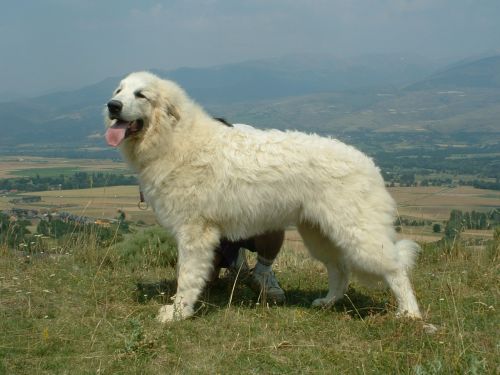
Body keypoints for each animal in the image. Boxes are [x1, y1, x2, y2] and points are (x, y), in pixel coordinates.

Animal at [105, 72, 422, 324]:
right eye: (118, 90)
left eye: (141, 94)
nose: (112, 106)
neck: (174, 137)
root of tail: (370, 164)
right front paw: (180, 310)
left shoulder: (195, 233)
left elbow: (187, 277)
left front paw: (178, 313)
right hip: (320, 235)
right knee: (340, 270)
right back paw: (328, 302)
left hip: (358, 234)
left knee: (396, 269)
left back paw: (410, 314)